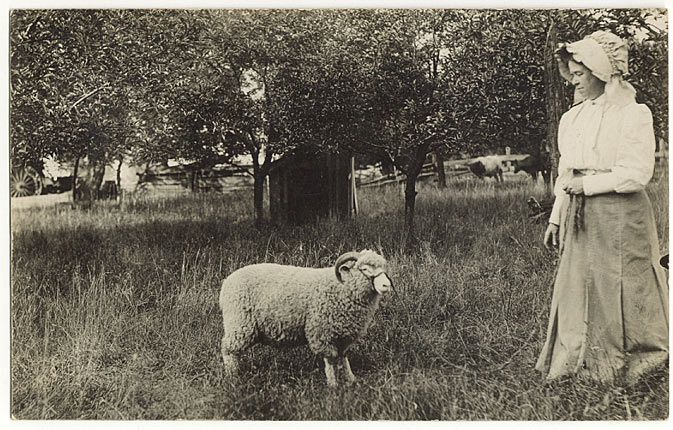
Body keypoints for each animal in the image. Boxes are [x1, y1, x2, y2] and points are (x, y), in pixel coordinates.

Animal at [218, 249, 392, 386]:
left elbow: (344, 358)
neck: (342, 286)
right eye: (365, 269)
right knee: (227, 349)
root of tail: (226, 282)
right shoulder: (322, 332)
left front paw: (351, 380)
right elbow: (331, 360)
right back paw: (233, 376)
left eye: (384, 268)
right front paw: (333, 385)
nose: (386, 285)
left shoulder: (344, 334)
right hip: (240, 323)